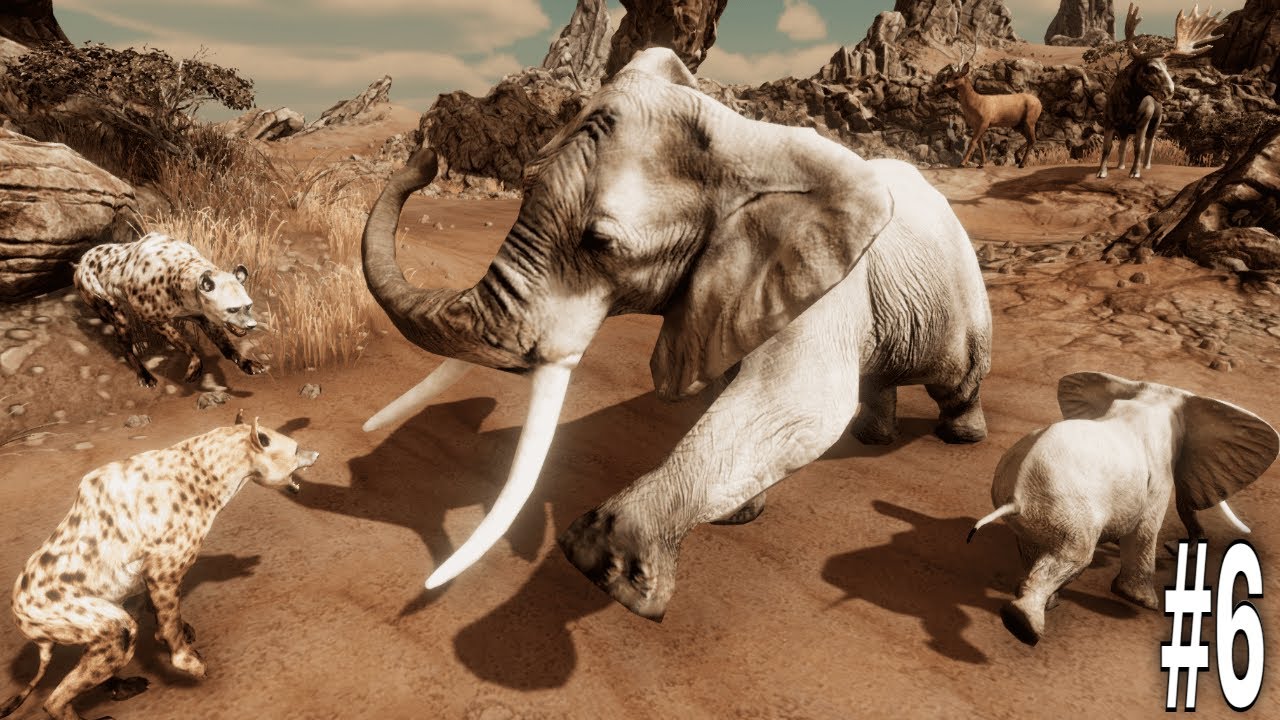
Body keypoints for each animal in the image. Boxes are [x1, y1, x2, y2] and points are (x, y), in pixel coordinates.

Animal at [359, 47, 992, 618]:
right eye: (526, 180)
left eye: (599, 242)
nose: (427, 156)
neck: (745, 139)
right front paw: (738, 517)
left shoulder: (828, 274)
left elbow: (800, 403)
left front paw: (604, 565)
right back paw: (873, 438)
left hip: (962, 292)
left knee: (956, 375)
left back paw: (962, 436)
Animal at [969, 371, 1278, 646]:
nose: (1172, 549)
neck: (1151, 398)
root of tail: (1016, 497)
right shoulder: (1158, 472)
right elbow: (1145, 528)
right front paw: (1142, 602)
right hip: (1065, 507)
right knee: (1076, 554)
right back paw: (1023, 626)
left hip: (1038, 513)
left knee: (1039, 550)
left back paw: (1045, 606)